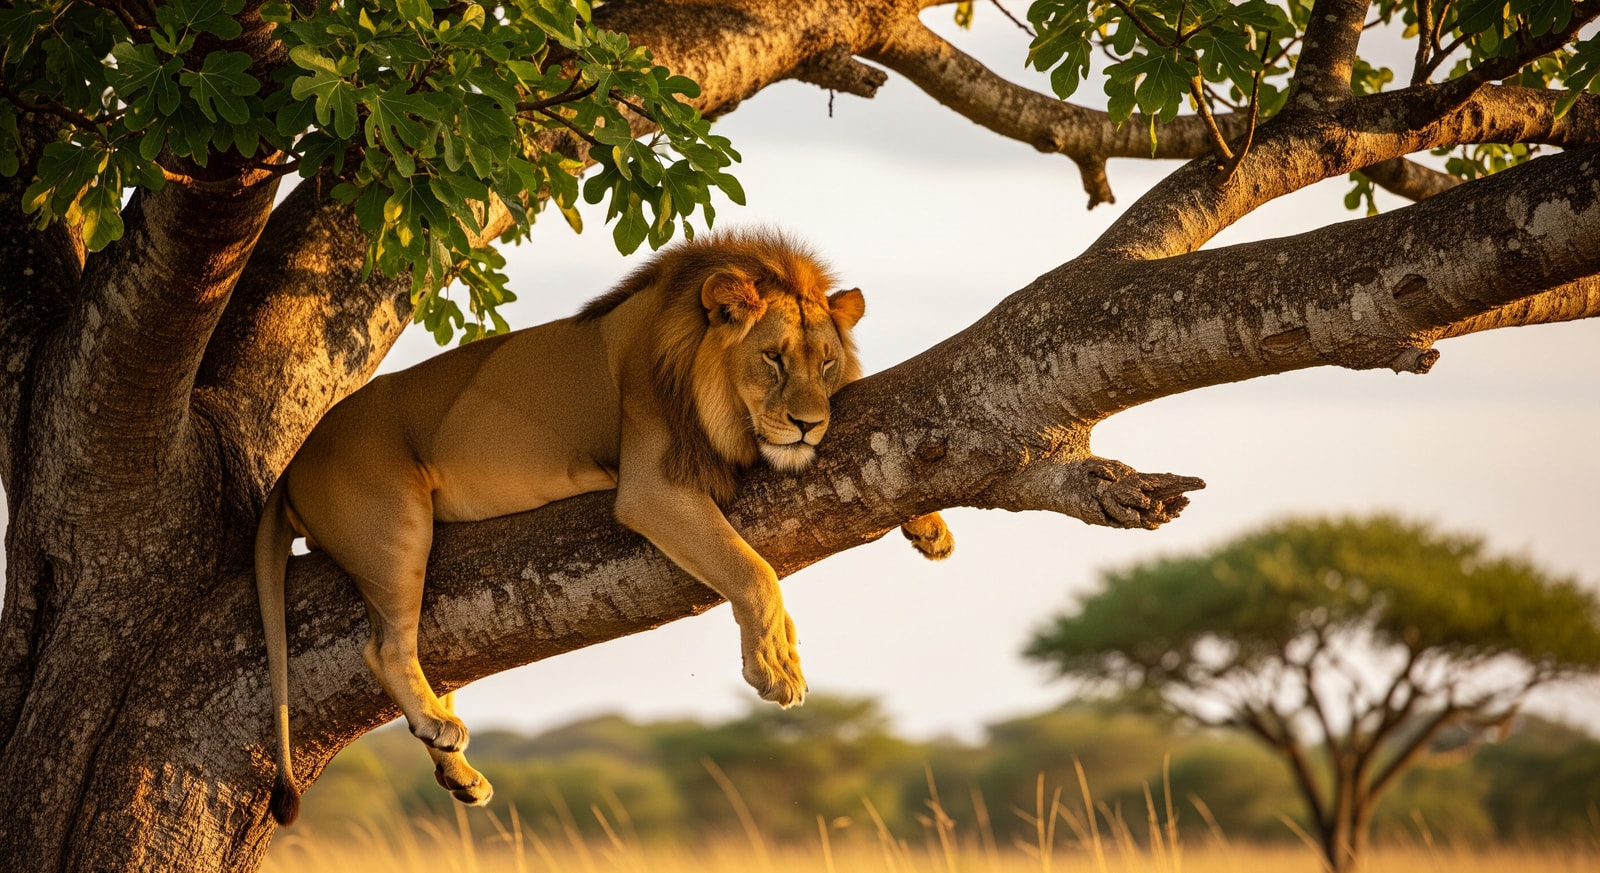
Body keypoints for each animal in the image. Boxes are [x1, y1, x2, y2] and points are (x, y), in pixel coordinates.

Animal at [254, 230, 953, 824]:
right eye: (774, 359)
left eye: (827, 365)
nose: (809, 425)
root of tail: (295, 460)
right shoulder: (652, 486)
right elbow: (751, 570)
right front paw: (777, 665)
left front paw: (930, 527)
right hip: (396, 521)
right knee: (386, 647)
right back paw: (438, 727)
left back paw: (459, 773)